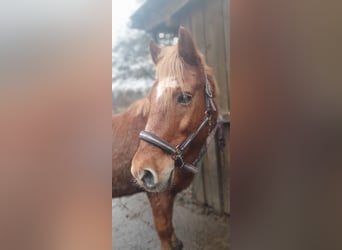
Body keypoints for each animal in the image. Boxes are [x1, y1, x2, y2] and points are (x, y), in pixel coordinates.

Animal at [113, 26, 219, 249]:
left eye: (185, 97)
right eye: (151, 98)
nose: (141, 172)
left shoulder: (167, 194)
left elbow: (170, 225)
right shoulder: (157, 195)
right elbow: (163, 229)